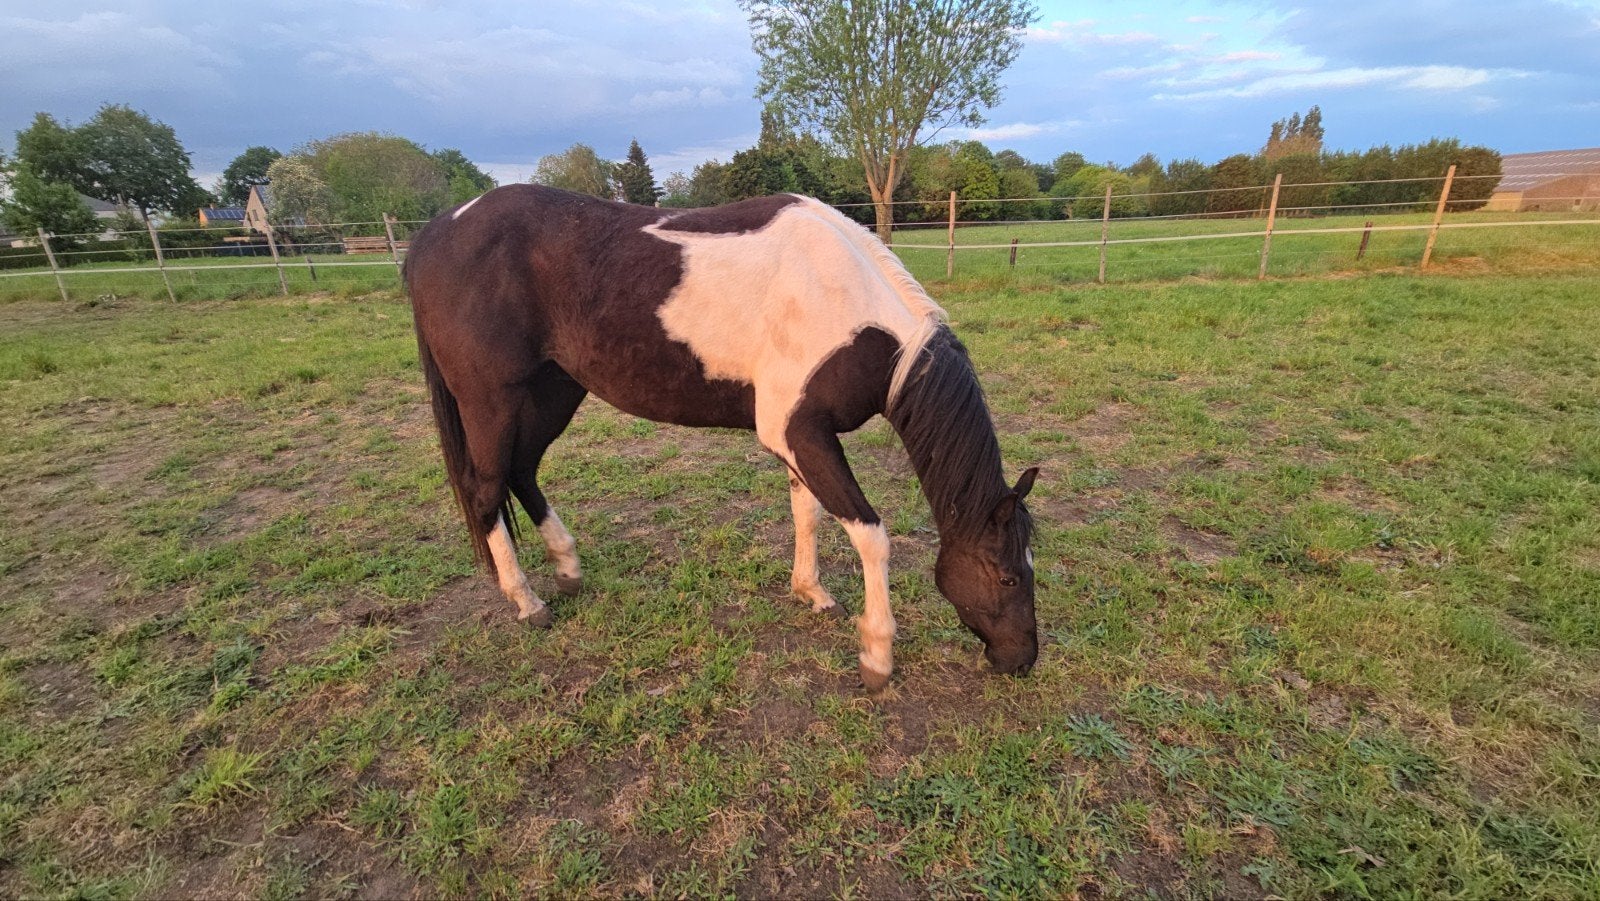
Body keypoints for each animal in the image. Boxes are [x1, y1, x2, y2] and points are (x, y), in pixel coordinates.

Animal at [404, 185, 1038, 690]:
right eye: (1007, 575)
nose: (1022, 661)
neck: (844, 299)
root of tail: (434, 233)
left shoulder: (802, 438)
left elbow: (806, 512)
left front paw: (810, 592)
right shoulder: (799, 433)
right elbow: (870, 536)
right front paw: (877, 654)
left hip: (553, 391)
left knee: (522, 470)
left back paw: (567, 568)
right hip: (492, 401)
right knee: (486, 489)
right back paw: (527, 601)